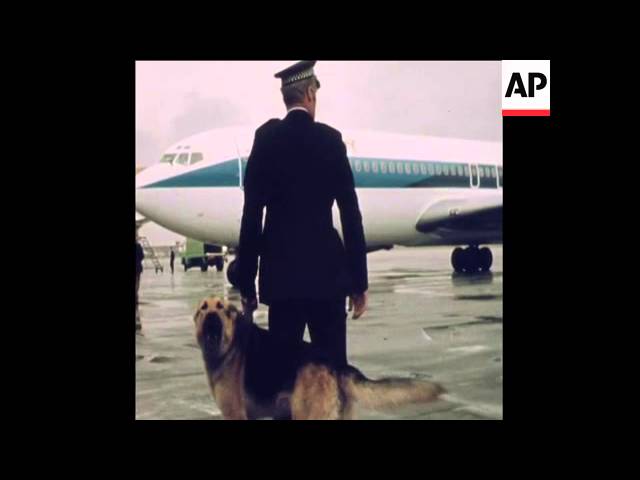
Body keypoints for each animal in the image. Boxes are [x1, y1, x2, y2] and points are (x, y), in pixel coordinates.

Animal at [194, 296, 444, 420]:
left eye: (222, 308)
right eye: (204, 308)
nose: (212, 318)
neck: (229, 345)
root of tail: (336, 363)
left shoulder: (234, 414)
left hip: (307, 414)